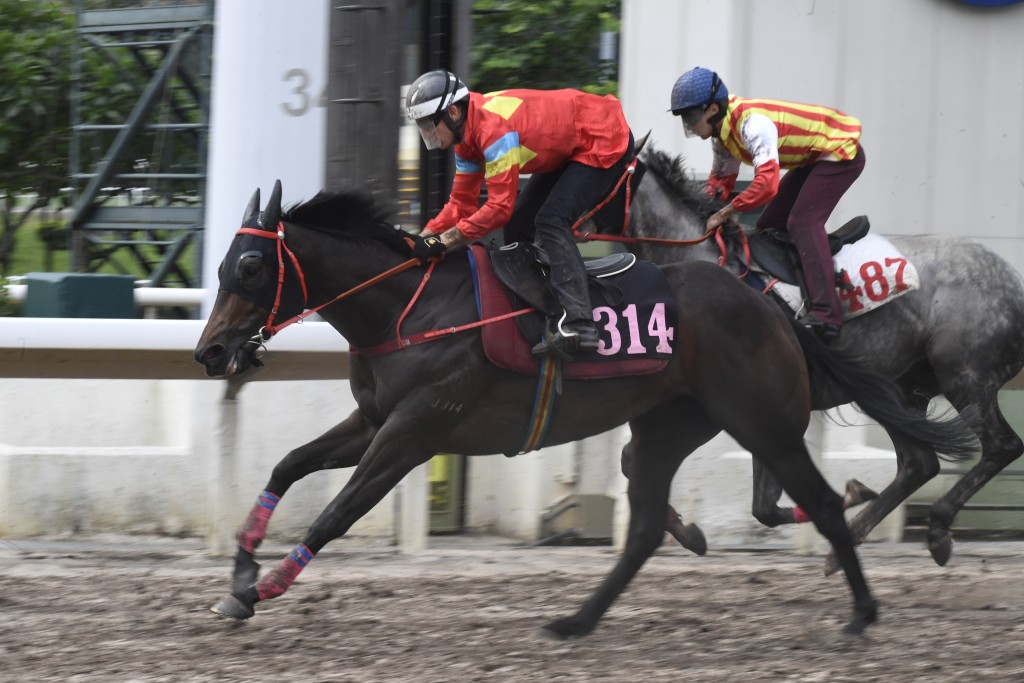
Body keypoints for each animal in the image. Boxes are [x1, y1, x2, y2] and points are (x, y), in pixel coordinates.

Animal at [193, 180, 974, 634]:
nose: (210, 351)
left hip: (764, 421)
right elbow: (288, 465)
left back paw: (863, 609)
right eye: (226, 263)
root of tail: (771, 305)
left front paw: (265, 586)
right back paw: (575, 620)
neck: (406, 308)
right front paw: (239, 576)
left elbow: (337, 510)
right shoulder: (373, 420)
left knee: (824, 499)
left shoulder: (415, 429)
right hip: (669, 423)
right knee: (647, 527)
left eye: (251, 266)